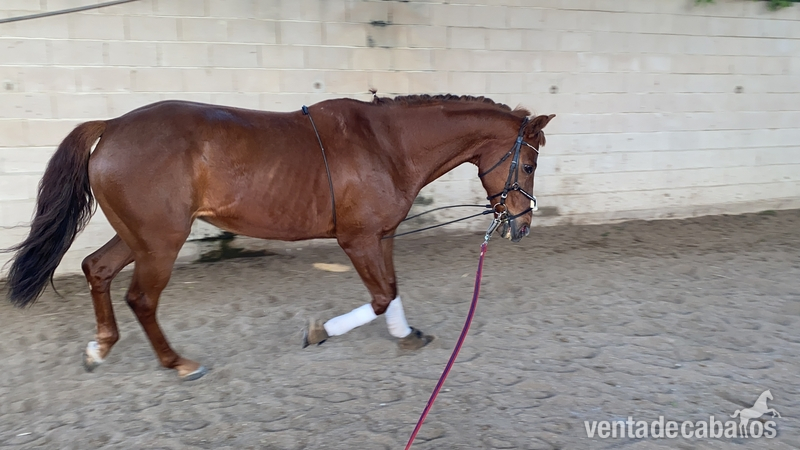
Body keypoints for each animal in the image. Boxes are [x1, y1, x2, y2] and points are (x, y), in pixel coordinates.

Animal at [4, 93, 555, 380]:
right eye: (528, 164)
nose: (522, 225)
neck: (386, 145)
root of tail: (113, 125)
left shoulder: (382, 235)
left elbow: (393, 290)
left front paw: (406, 334)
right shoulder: (356, 240)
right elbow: (379, 296)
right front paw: (320, 332)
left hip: (139, 236)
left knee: (96, 269)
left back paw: (100, 347)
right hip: (160, 242)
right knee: (141, 298)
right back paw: (177, 362)